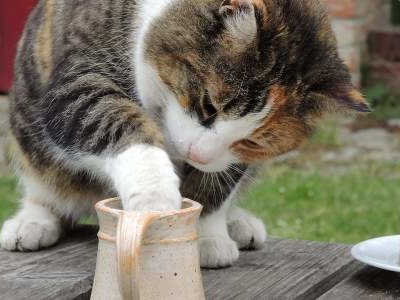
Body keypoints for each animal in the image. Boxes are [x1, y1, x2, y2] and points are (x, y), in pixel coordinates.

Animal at [0, 0, 368, 268]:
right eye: (208, 105)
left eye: (252, 140)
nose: (197, 154)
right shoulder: (78, 80)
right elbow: (108, 116)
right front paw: (155, 198)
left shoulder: (235, 159)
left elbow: (217, 183)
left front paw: (205, 236)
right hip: (27, 131)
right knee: (44, 186)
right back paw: (31, 222)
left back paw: (239, 222)